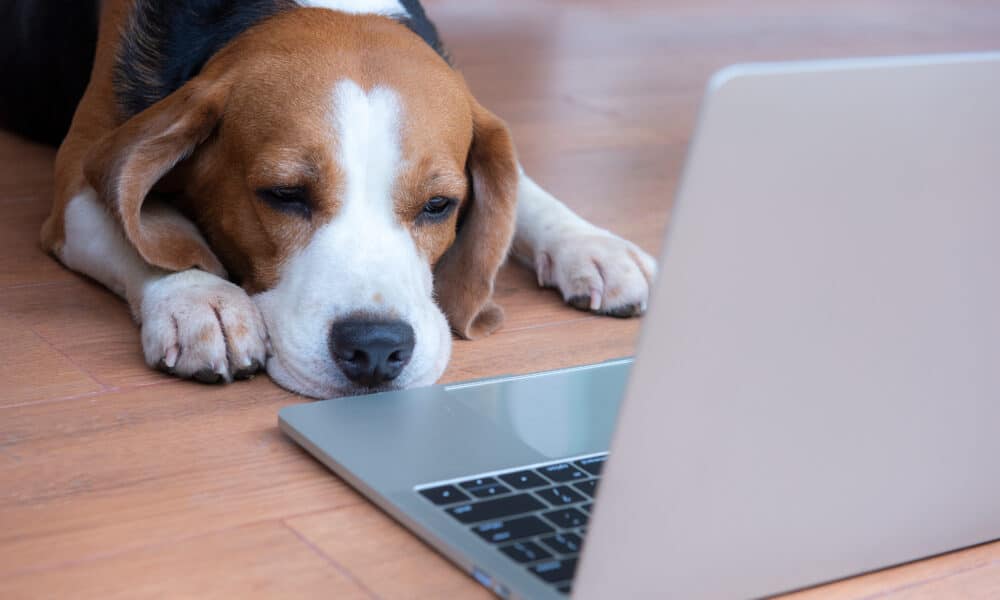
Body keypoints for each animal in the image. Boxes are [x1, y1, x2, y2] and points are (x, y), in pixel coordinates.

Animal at [1, 2, 656, 400]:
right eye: (284, 195)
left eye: (439, 205)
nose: (377, 349)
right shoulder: (77, 182)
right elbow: (147, 236)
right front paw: (200, 300)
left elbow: (522, 185)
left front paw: (589, 244)